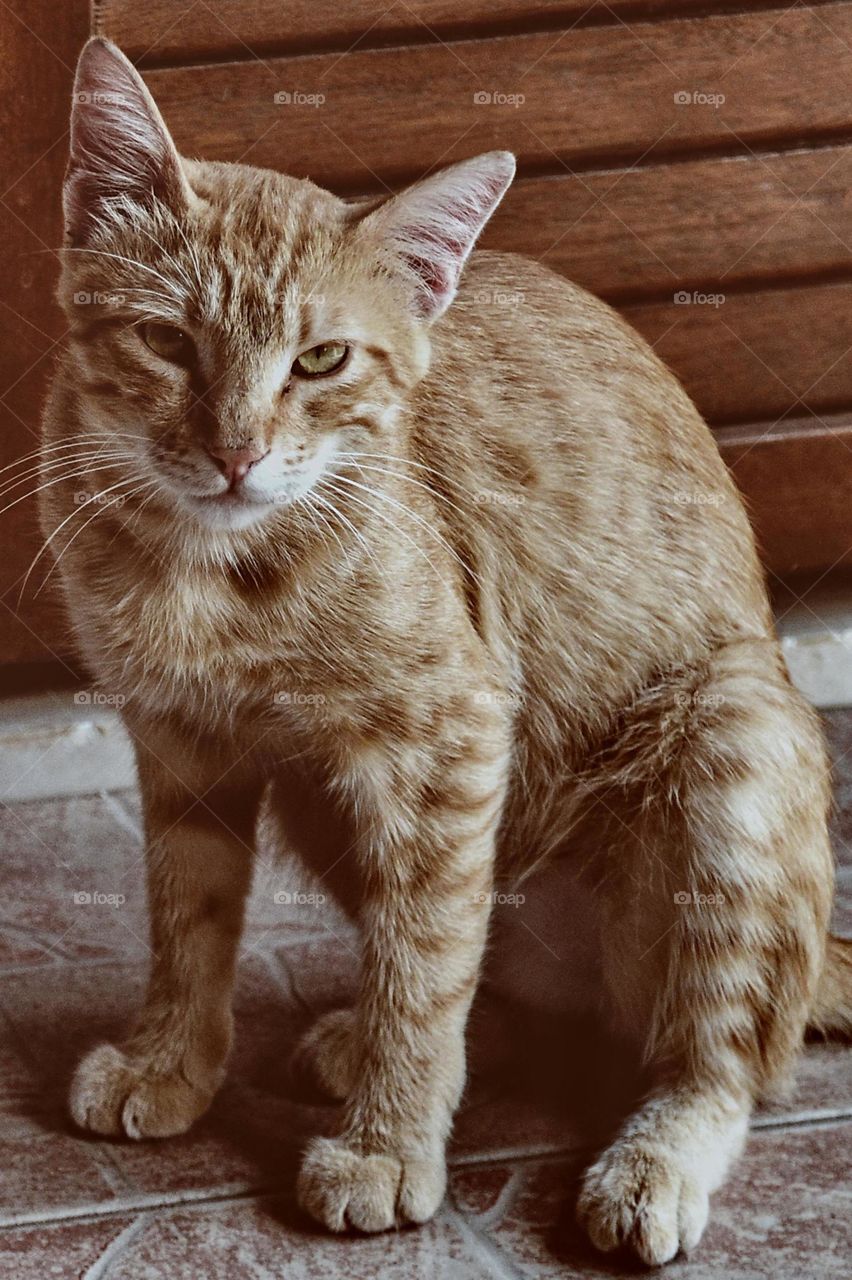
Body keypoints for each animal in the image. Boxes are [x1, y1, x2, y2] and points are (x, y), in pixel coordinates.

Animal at [34, 35, 849, 1264]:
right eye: (167, 341)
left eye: (321, 359)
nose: (236, 452)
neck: (209, 570)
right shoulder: (181, 739)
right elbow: (190, 916)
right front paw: (170, 1060)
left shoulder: (449, 737)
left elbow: (421, 970)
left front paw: (385, 1148)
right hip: (335, 809)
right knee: (505, 984)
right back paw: (359, 1042)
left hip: (732, 729)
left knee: (714, 1053)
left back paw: (652, 1160)